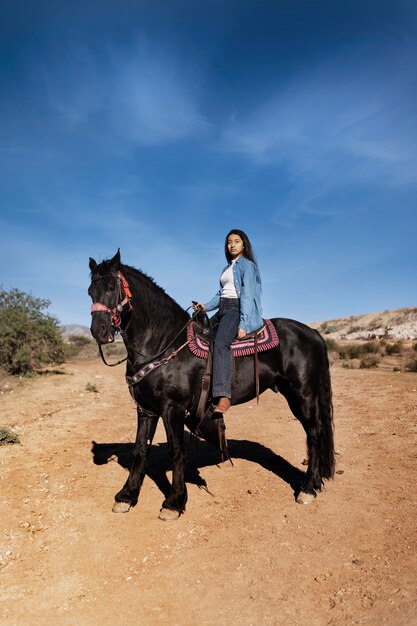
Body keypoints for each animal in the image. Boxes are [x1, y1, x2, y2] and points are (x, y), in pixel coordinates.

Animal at [88, 249, 334, 516]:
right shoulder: (145, 409)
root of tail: (313, 333)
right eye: (90, 291)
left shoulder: (172, 408)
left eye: (111, 288)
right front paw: (127, 495)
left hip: (303, 393)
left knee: (314, 431)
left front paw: (174, 502)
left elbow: (176, 451)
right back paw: (316, 483)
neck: (163, 344)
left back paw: (307, 489)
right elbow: (140, 449)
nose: (99, 331)